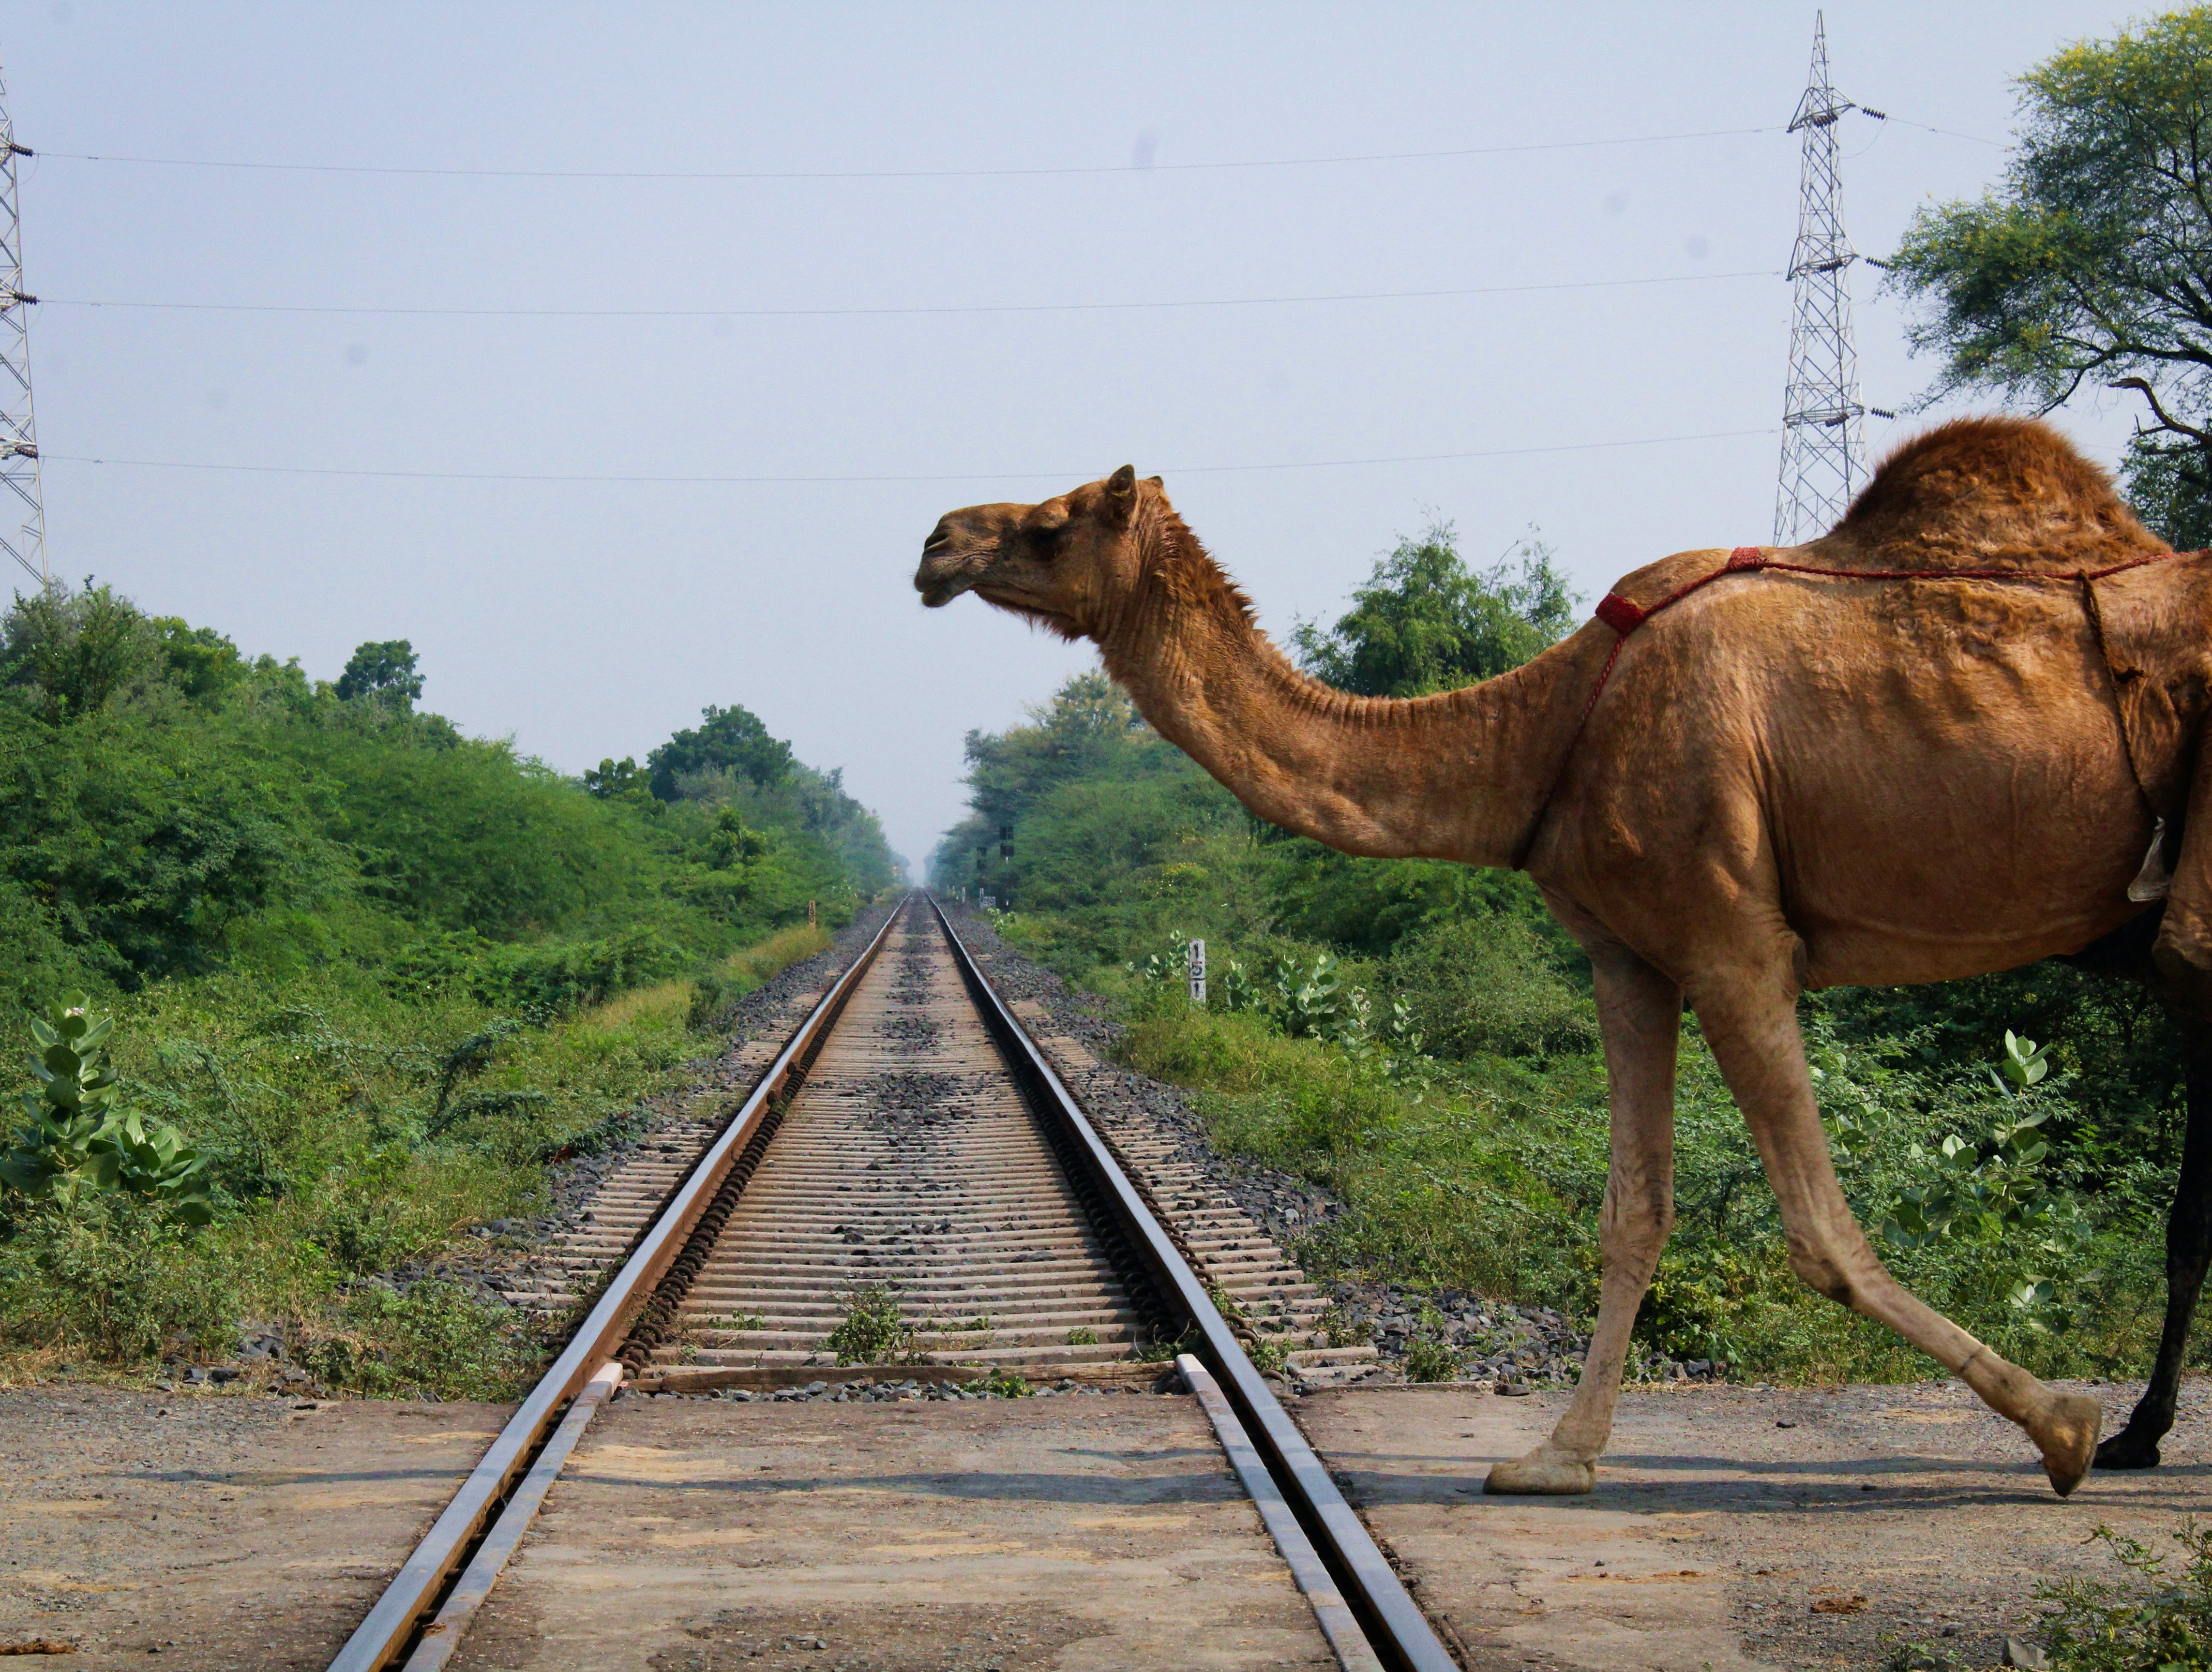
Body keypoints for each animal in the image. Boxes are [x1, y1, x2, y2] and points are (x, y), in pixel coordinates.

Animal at [913, 417, 2212, 1497]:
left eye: (1050, 522)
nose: (934, 541)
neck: (1543, 730)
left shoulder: (1733, 940)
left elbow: (1816, 1225)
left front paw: (2061, 1426)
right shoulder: (1628, 955)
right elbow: (1633, 1211)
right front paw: (1554, 1457)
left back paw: (2128, 1438)